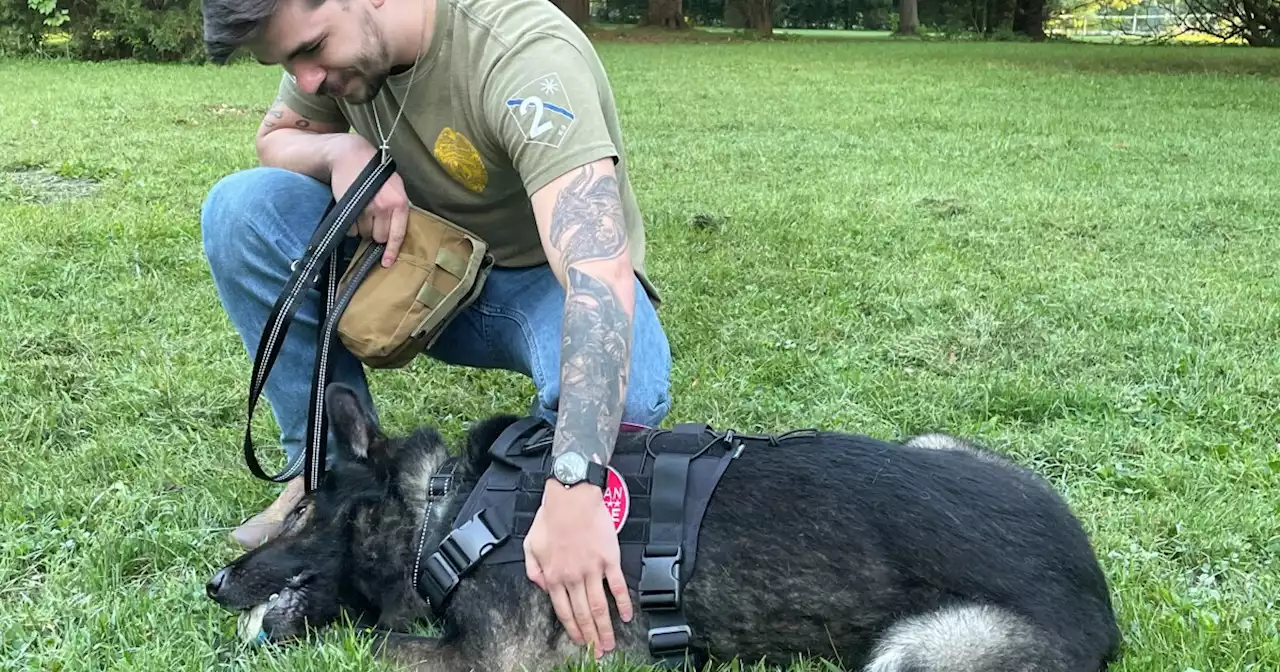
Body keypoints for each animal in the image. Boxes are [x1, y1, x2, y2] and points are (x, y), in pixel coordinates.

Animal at [207, 381, 1121, 670]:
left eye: (301, 512)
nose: (215, 583)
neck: (451, 508)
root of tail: (1099, 599)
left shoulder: (489, 660)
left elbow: (363, 641)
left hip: (913, 653)